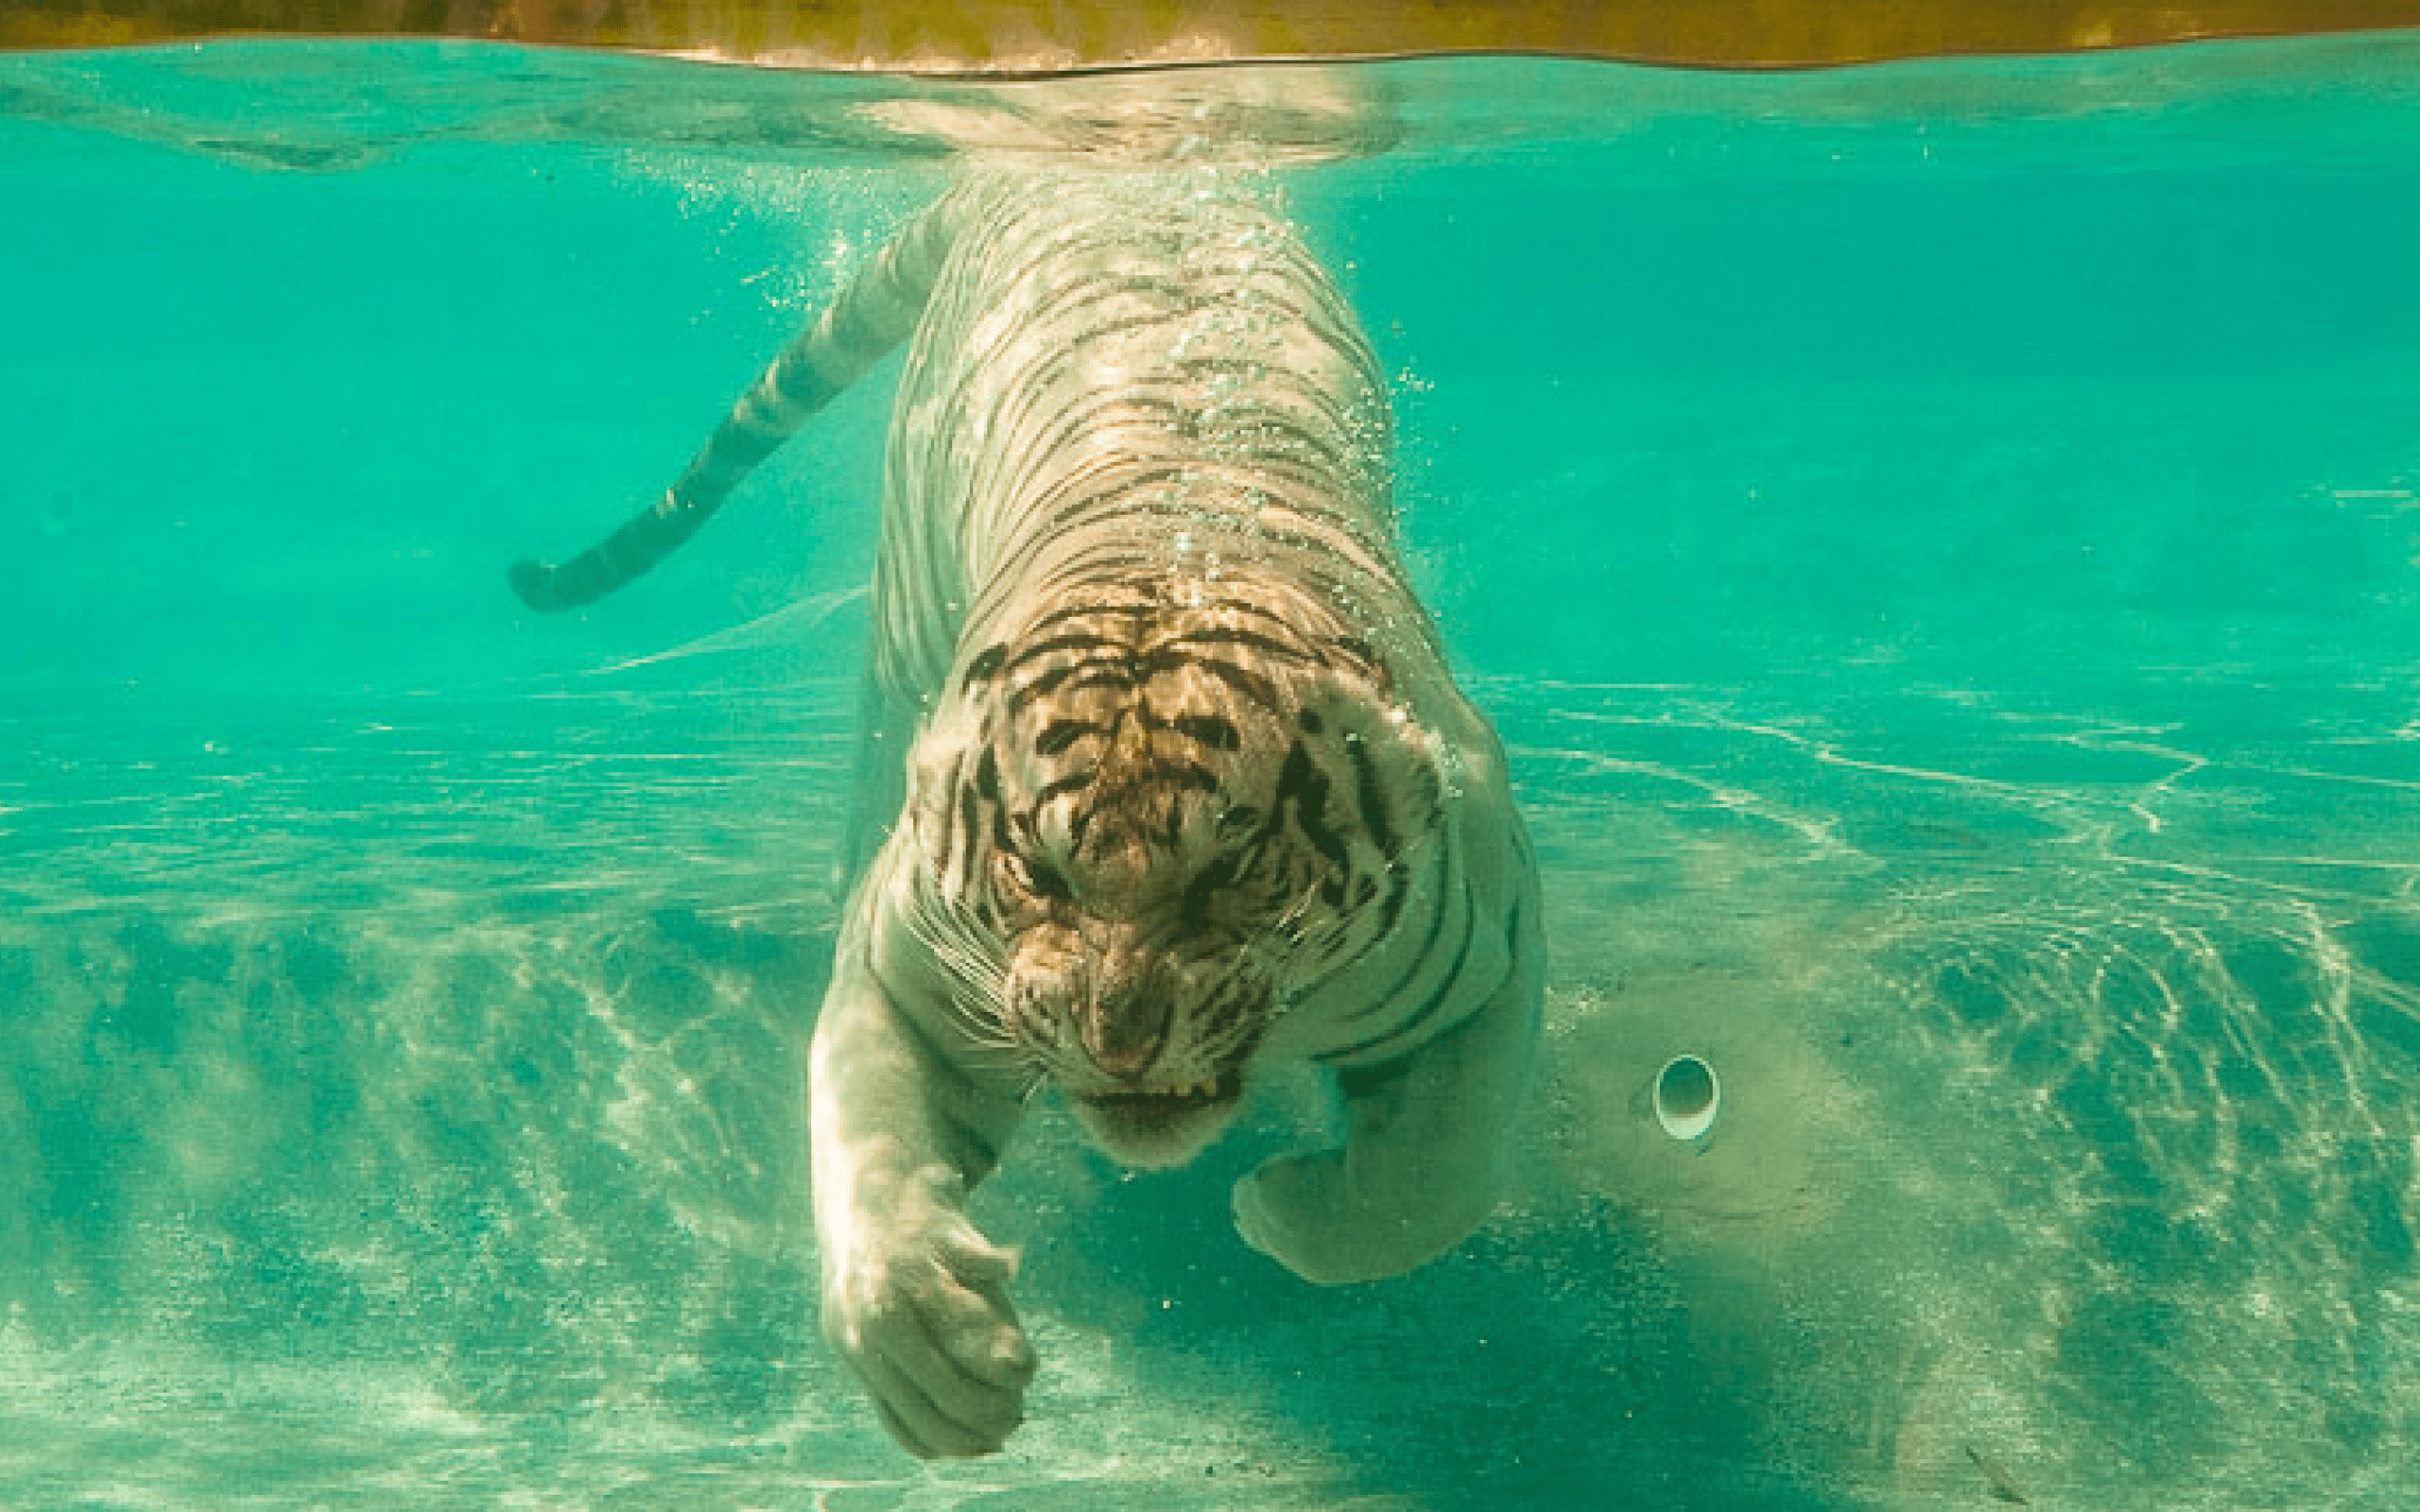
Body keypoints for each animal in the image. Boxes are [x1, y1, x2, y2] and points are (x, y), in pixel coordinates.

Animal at [511, 169, 1543, 1459]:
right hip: (899, 624)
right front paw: (934, 1355)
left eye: (1228, 872)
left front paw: (1274, 1207)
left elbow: (1436, 1181)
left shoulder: (1488, 948)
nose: (1118, 1039)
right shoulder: (904, 972)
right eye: (1040, 874)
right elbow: (866, 1163)